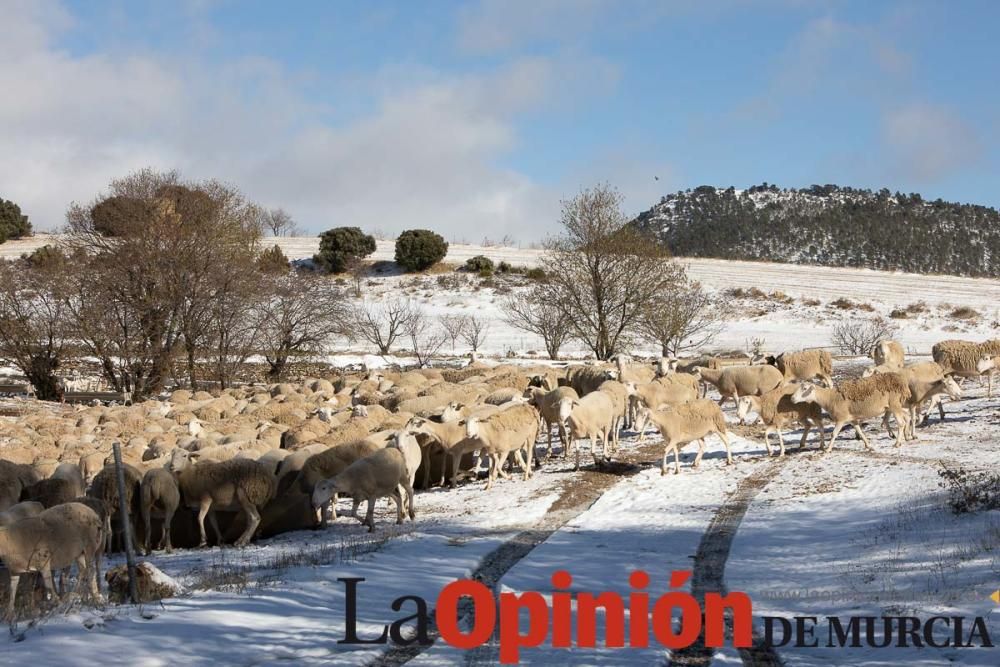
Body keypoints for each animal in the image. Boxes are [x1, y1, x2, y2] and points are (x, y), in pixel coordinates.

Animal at [788, 374, 916, 452]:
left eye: (805, 389)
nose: (792, 399)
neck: (830, 398)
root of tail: (902, 383)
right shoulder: (852, 419)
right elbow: (860, 431)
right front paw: (868, 445)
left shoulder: (841, 418)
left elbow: (833, 434)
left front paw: (828, 449)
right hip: (896, 406)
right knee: (907, 417)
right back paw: (906, 436)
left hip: (894, 405)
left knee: (901, 423)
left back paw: (897, 443)